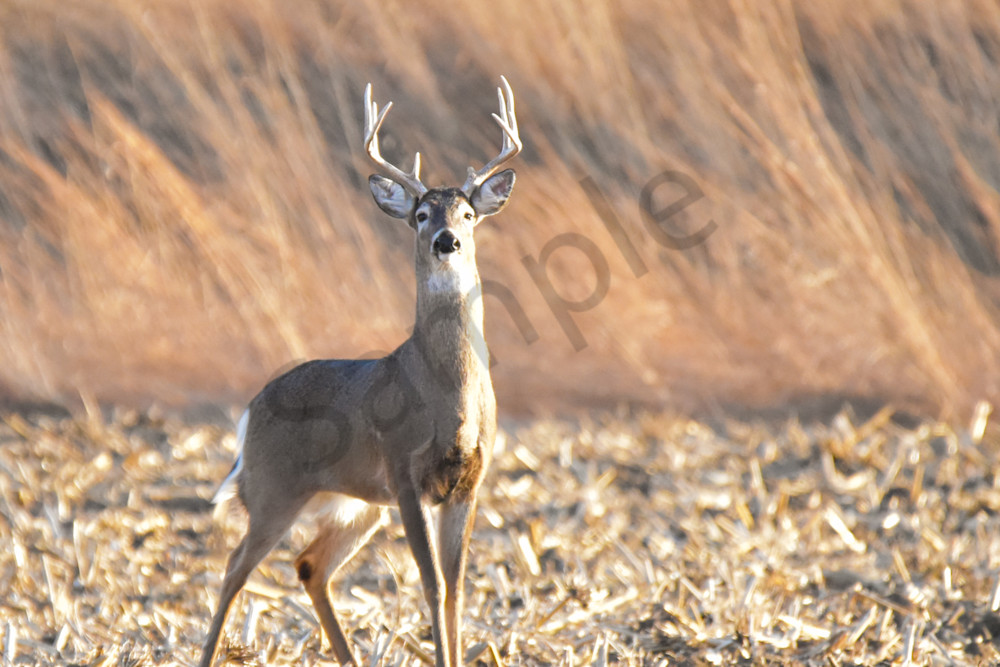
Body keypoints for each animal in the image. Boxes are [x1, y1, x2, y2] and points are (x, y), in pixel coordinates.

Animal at [198, 76, 521, 667]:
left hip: (356, 506)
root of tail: (250, 410)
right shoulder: (403, 469)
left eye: (468, 214)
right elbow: (431, 584)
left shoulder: (469, 480)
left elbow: (458, 587)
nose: (446, 241)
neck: (449, 397)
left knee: (309, 564)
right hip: (273, 488)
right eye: (421, 215)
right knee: (235, 566)